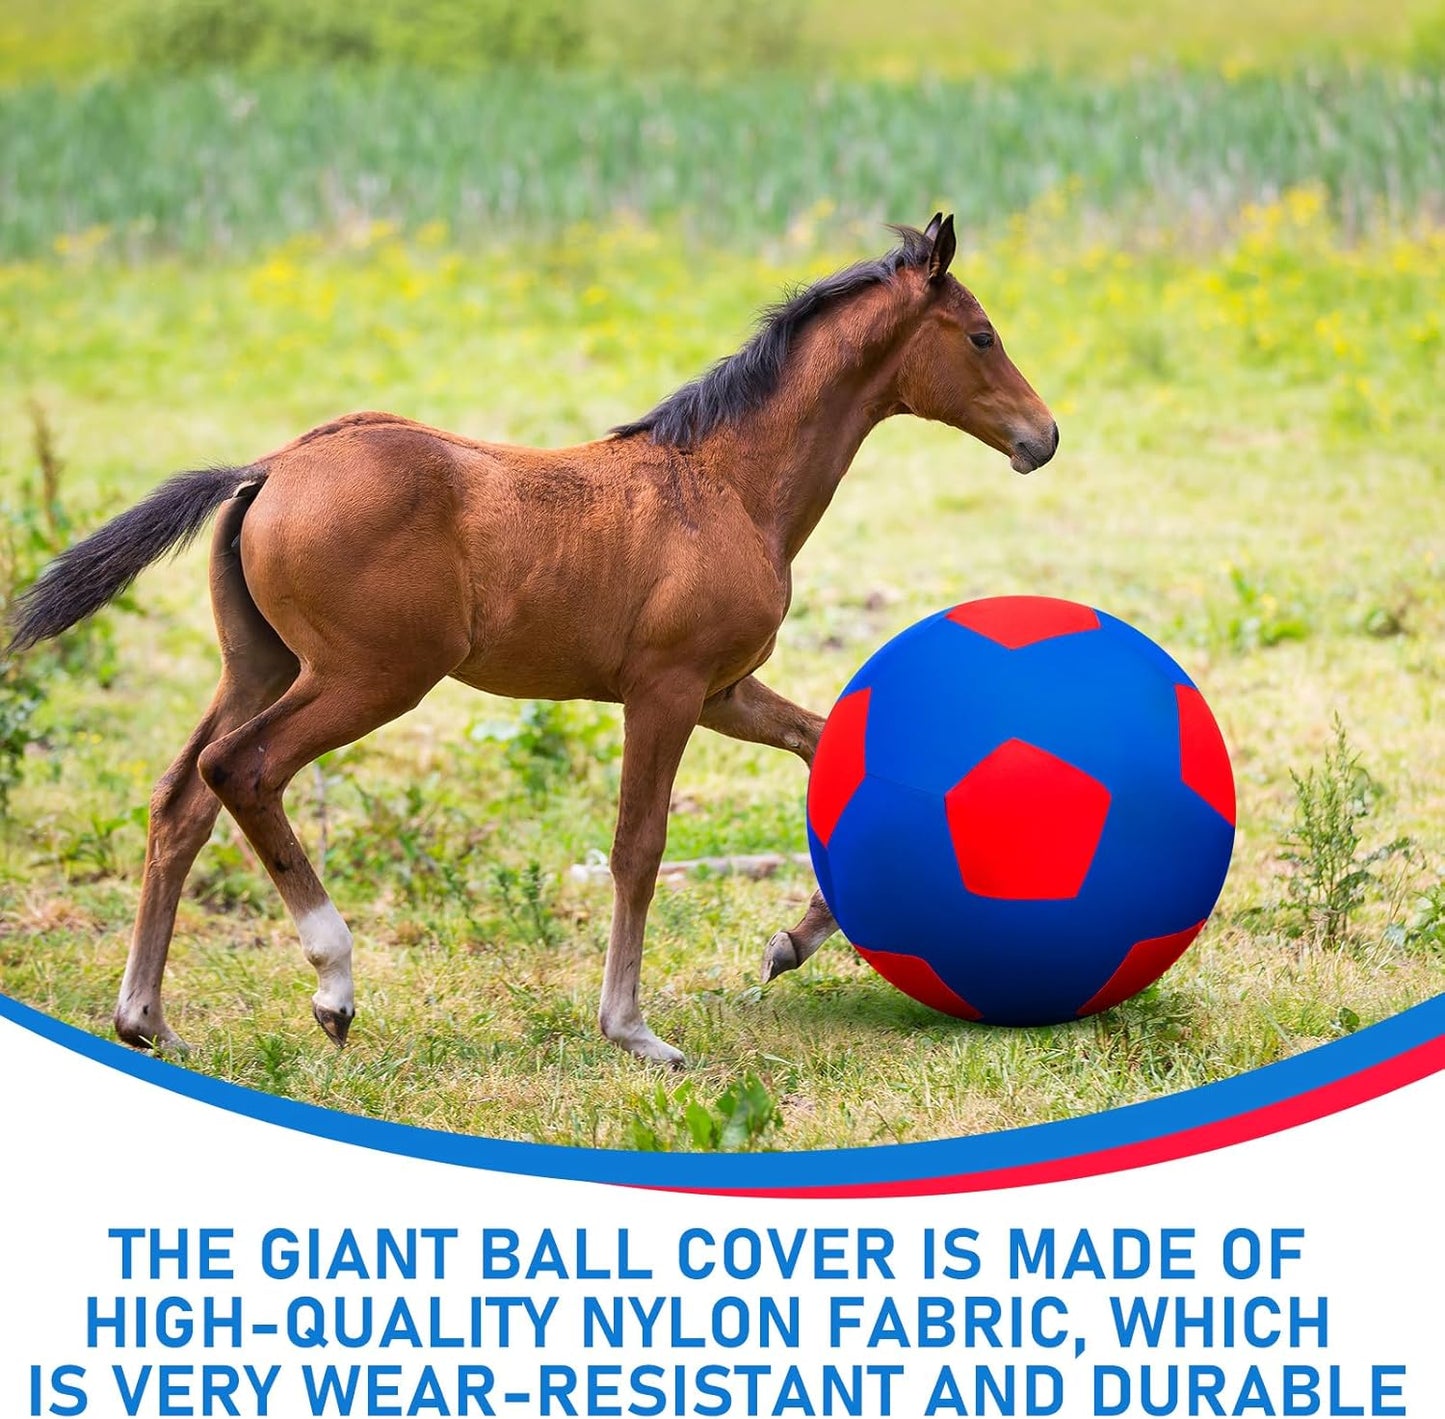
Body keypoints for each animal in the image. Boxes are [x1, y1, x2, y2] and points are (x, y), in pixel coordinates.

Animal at [9, 213, 1057, 1066]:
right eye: (981, 335)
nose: (1041, 437)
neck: (726, 482)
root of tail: (270, 467)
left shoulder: (723, 691)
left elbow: (824, 744)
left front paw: (787, 945)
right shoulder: (666, 690)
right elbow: (639, 846)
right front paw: (632, 1029)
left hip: (262, 664)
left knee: (179, 795)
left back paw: (146, 1018)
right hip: (369, 676)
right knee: (241, 768)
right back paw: (333, 984)